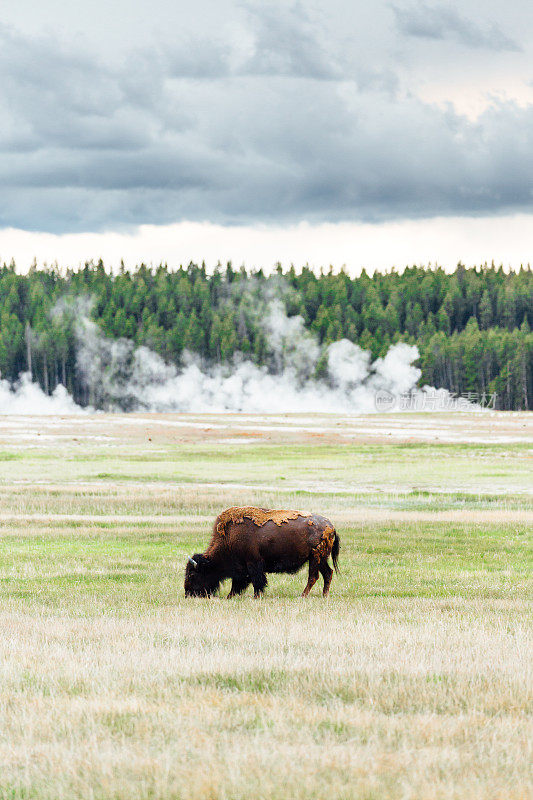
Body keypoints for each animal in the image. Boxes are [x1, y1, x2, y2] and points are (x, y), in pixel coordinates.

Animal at [185, 504, 338, 596]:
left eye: (192, 574)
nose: (188, 594)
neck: (228, 539)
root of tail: (330, 526)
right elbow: (240, 583)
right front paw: (231, 596)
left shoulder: (253, 563)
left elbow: (256, 581)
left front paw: (256, 596)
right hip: (321, 559)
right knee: (327, 573)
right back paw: (324, 595)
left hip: (315, 558)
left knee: (313, 576)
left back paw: (303, 595)